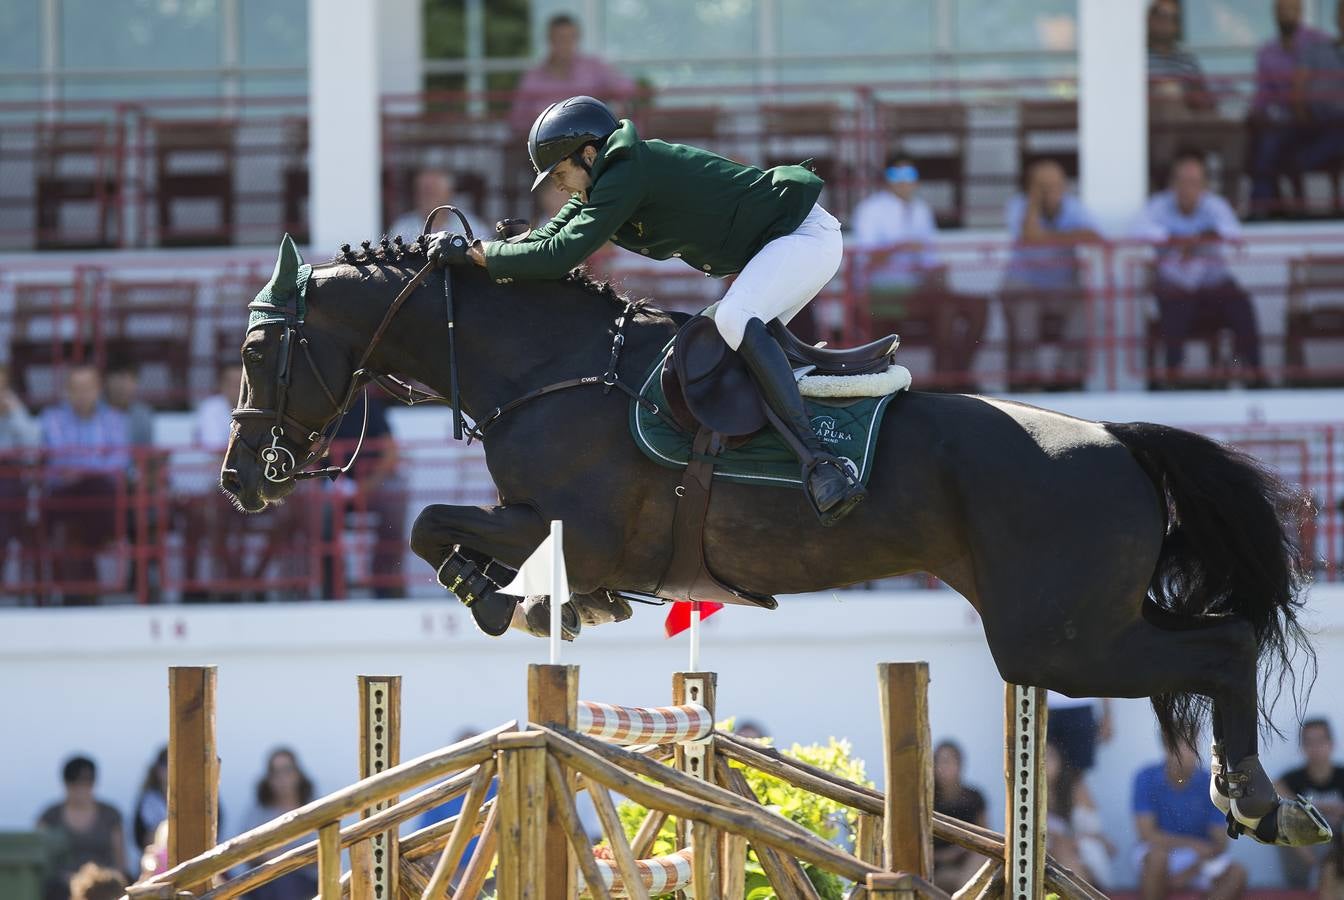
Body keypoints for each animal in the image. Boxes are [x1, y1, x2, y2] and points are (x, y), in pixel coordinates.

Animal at [217, 235, 1322, 854]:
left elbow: (431, 525)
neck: (544, 366)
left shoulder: (572, 526)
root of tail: (1120, 441)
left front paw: (503, 599)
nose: (238, 481)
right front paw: (529, 602)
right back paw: (1259, 800)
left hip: (1058, 640)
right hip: (1083, 628)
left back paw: (1259, 800)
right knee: (1217, 646)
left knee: (1223, 647)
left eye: (260, 350)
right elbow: (442, 531)